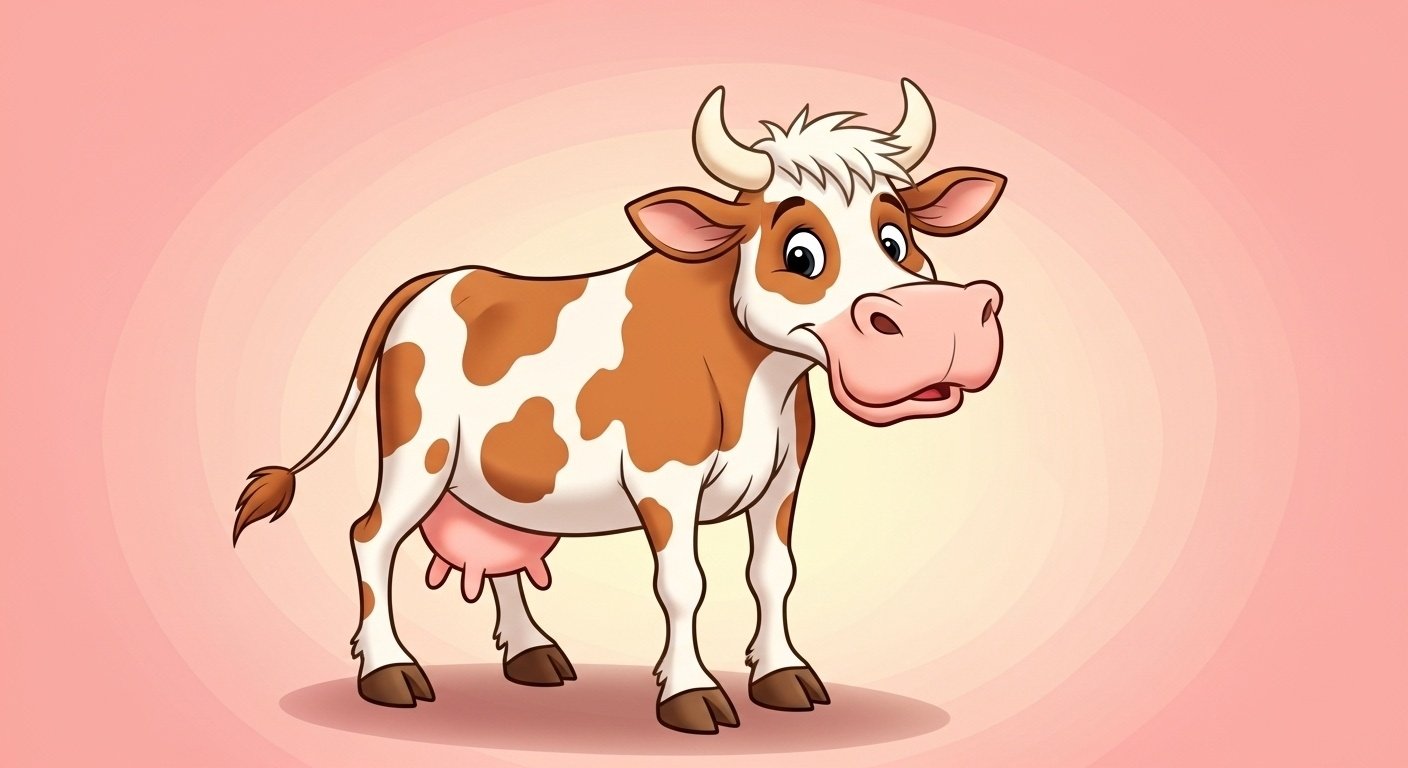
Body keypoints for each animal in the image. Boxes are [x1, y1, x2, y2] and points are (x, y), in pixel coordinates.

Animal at [233, 80, 1006, 734]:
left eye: (897, 240)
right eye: (801, 253)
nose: (942, 323)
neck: (758, 384)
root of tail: (439, 278)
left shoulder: (785, 476)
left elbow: (773, 573)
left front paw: (783, 675)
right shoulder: (665, 477)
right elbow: (683, 583)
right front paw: (690, 693)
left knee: (496, 543)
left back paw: (532, 654)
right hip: (417, 452)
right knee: (371, 537)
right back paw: (390, 671)